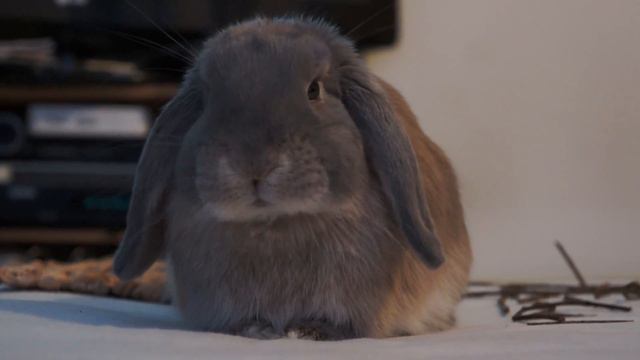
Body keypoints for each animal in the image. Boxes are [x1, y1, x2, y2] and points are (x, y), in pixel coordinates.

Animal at [114, 16, 470, 338]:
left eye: (314, 90)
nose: (254, 164)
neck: (275, 222)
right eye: (208, 98)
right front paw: (256, 328)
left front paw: (312, 330)